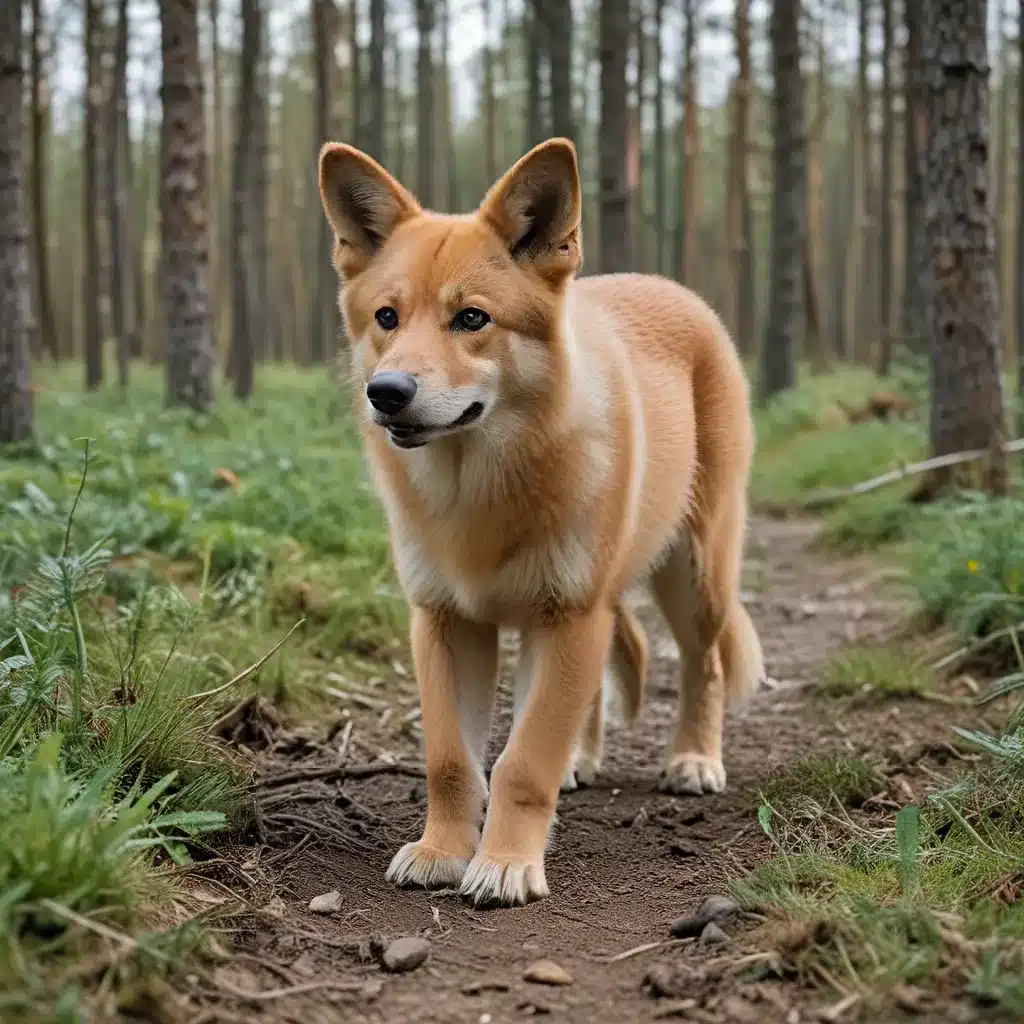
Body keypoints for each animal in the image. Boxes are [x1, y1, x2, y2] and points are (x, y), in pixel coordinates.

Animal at [315, 134, 765, 905]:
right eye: (386, 318)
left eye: (472, 318)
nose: (387, 392)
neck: (478, 491)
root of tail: (672, 288)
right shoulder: (445, 623)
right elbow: (451, 760)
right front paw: (442, 852)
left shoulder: (568, 617)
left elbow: (523, 763)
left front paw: (504, 865)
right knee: (618, 663)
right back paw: (583, 759)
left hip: (695, 573)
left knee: (700, 664)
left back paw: (694, 760)